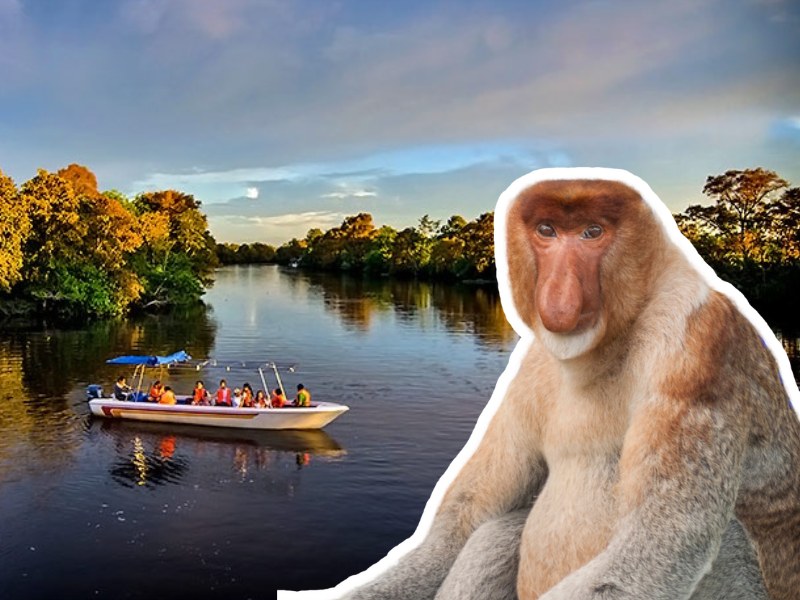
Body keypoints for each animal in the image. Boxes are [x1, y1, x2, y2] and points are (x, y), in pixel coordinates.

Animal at [278, 168, 800, 600]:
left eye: (593, 232)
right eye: (547, 231)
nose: (560, 296)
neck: (612, 342)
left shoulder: (695, 346)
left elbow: (657, 545)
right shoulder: (534, 369)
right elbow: (464, 520)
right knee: (494, 533)